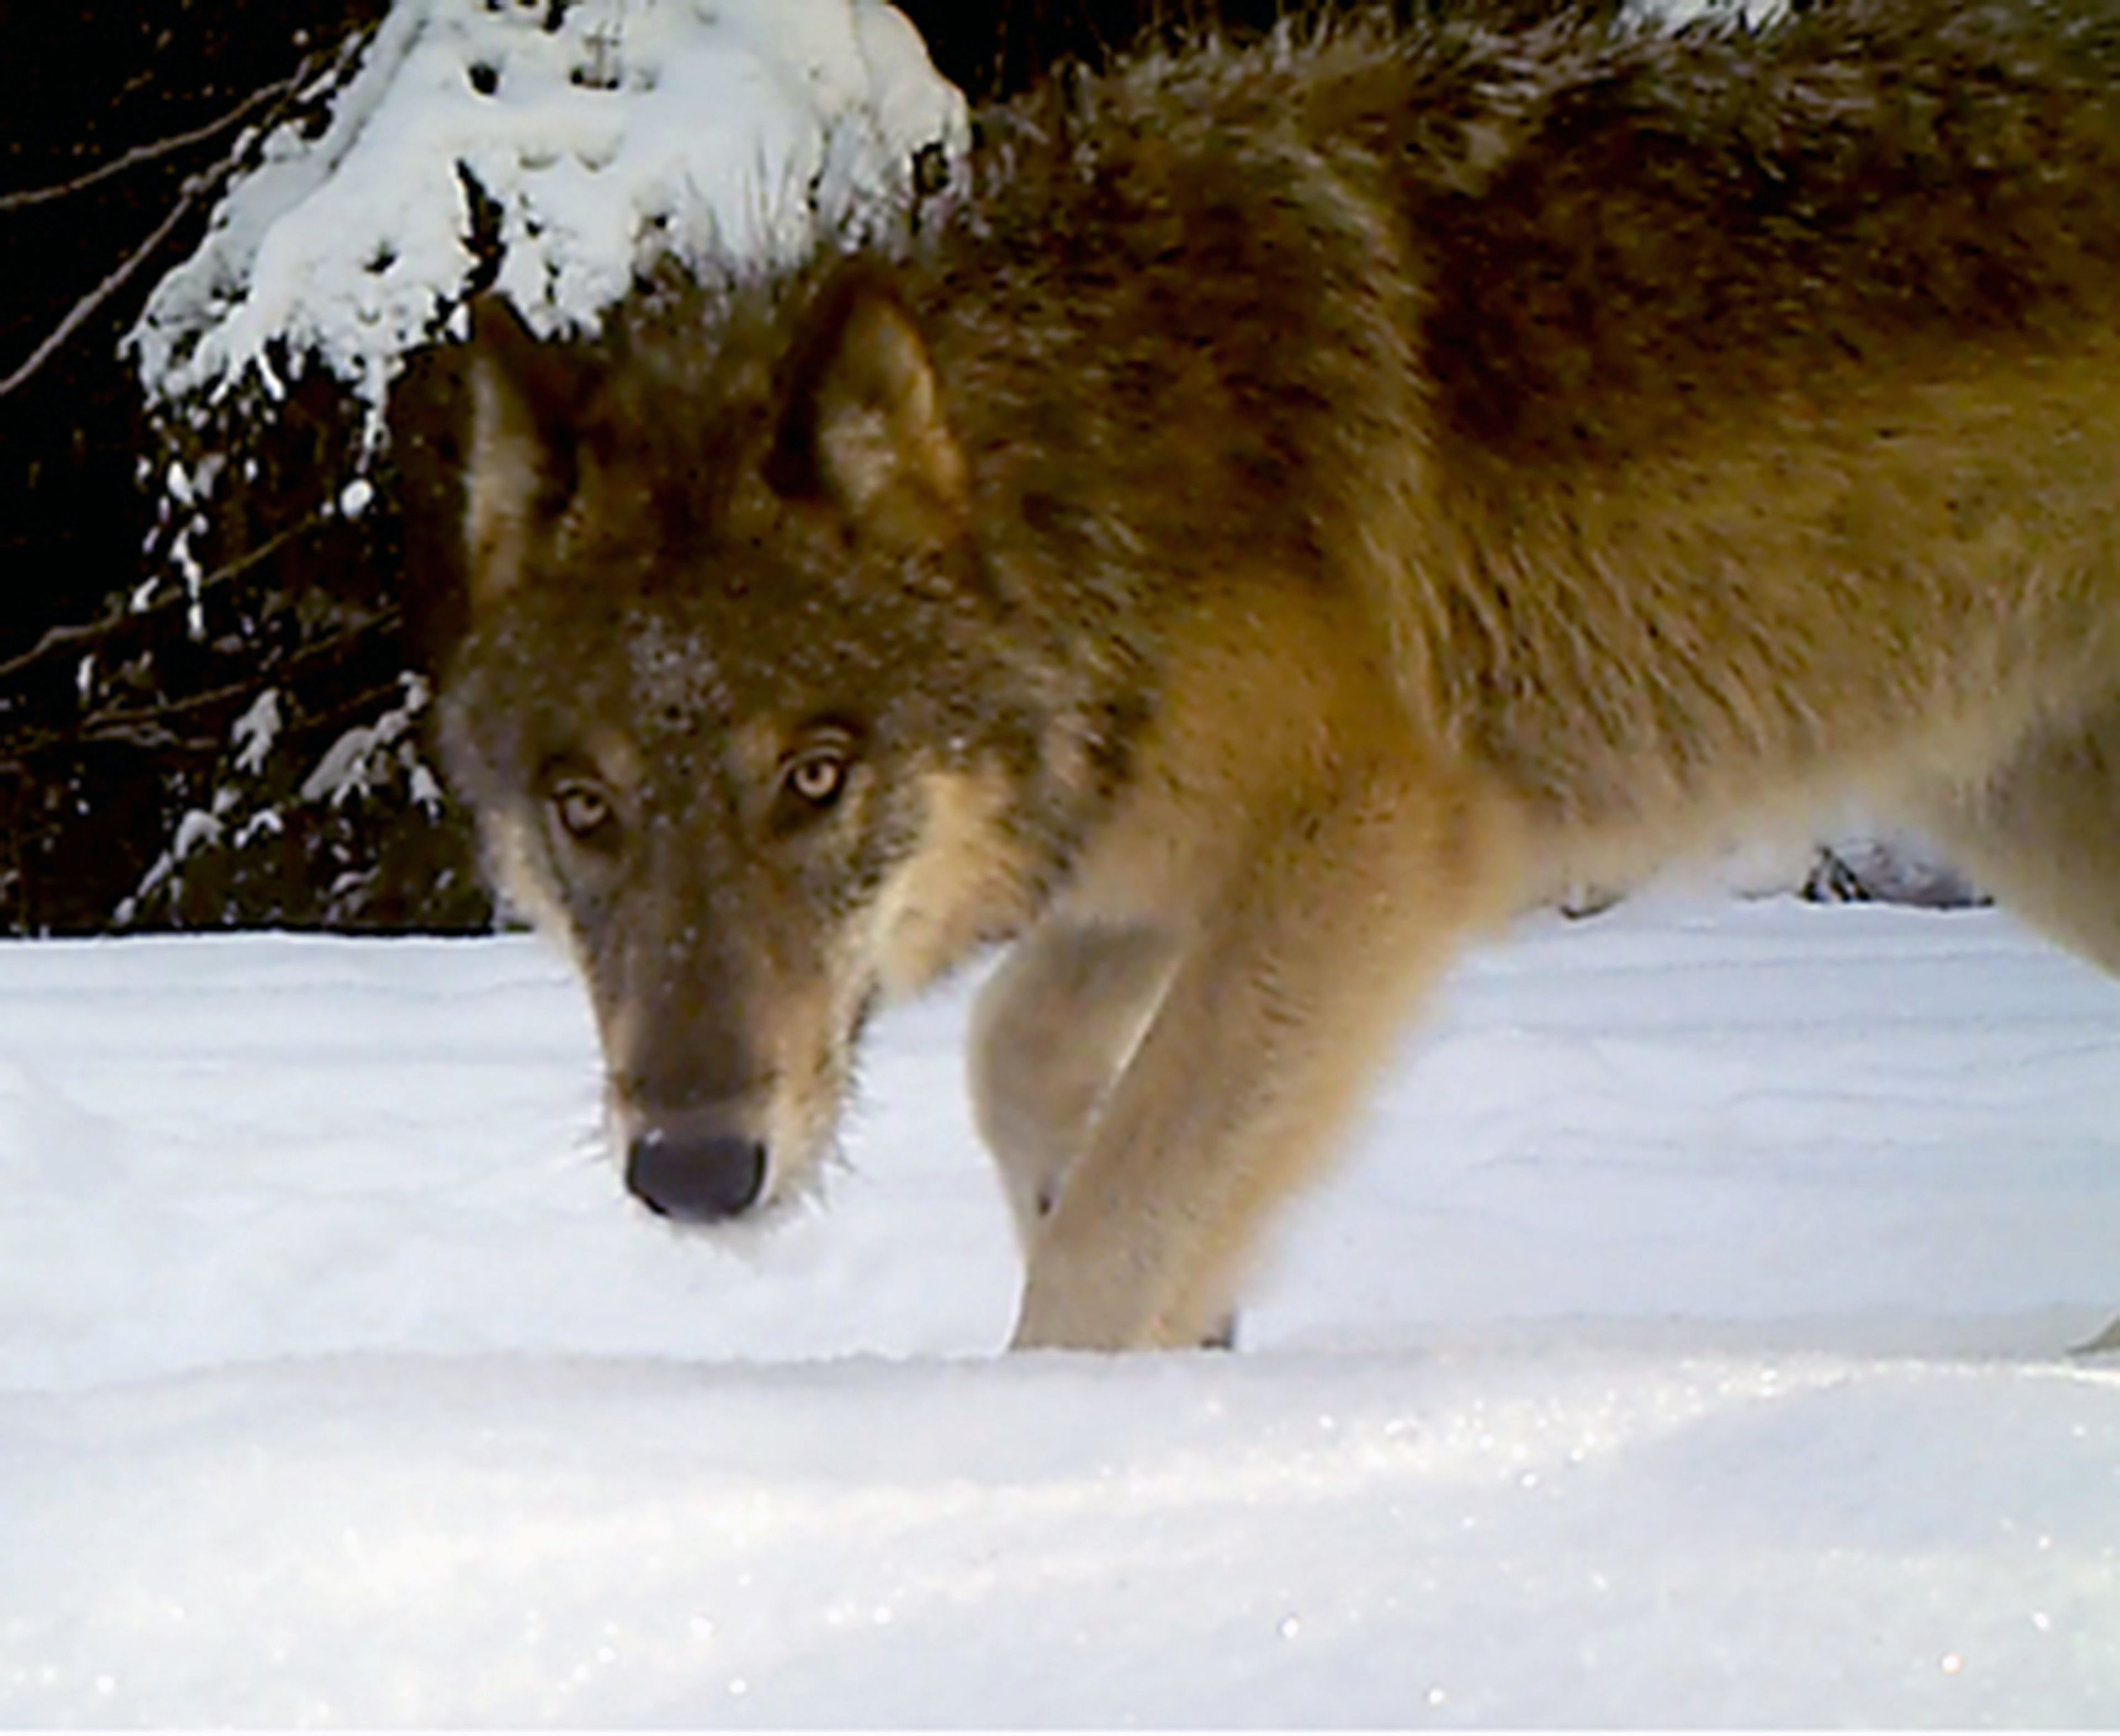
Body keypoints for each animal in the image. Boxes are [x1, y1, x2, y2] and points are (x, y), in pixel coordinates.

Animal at [430, 0, 2120, 1356]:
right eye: (583, 807)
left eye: (814, 775)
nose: (690, 1174)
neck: (1102, 482)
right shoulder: (1149, 861)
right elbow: (1016, 1058)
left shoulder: (1362, 839)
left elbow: (1124, 1218)